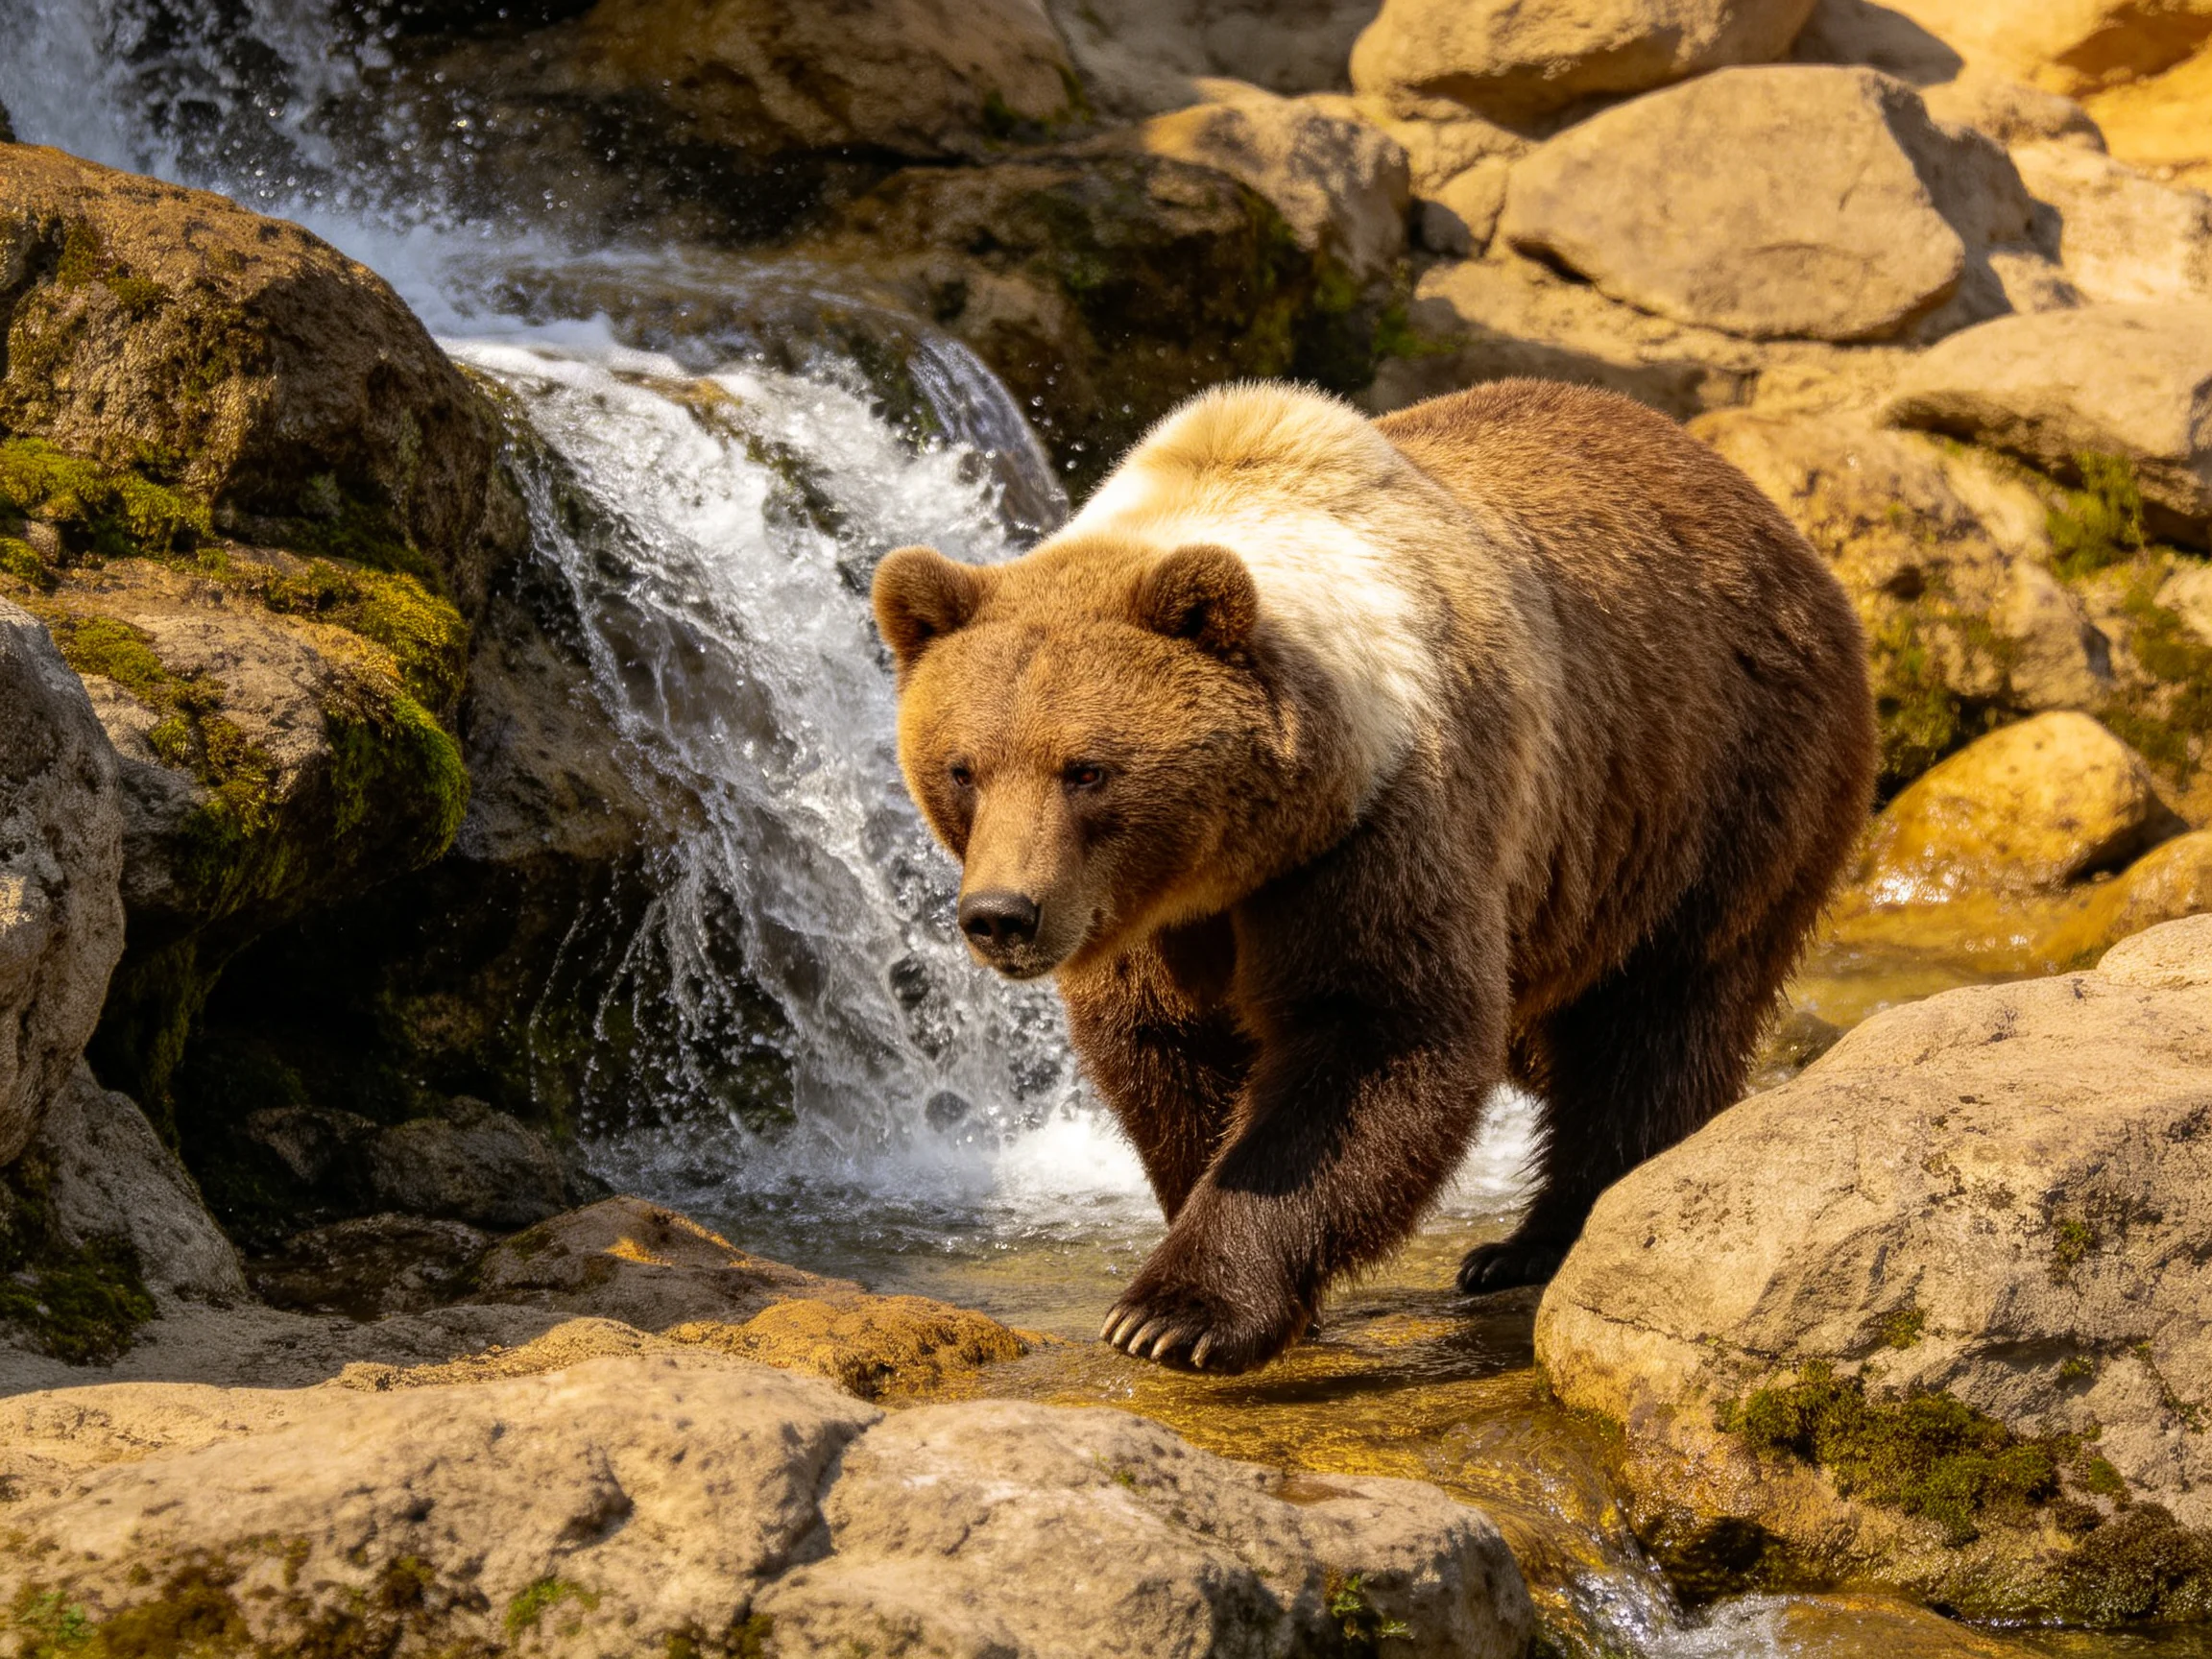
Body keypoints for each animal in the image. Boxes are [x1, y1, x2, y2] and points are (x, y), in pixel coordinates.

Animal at [872, 377, 1876, 1374]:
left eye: (1086, 769)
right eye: (963, 769)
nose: (1002, 915)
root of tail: (1751, 499)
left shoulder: (1381, 828)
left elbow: (1376, 1038)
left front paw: (1177, 1313)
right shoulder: (1145, 912)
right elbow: (1164, 1054)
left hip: (1710, 783)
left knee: (1653, 1020)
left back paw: (1540, 1239)